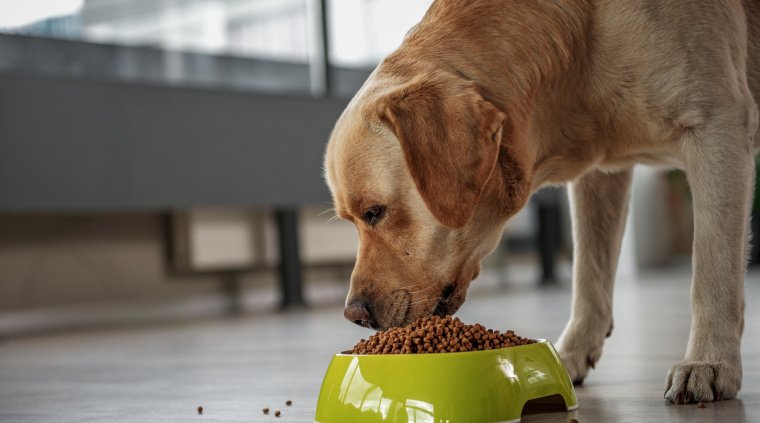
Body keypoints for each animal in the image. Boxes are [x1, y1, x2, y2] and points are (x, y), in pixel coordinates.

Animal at [322, 0, 760, 404]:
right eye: (350, 220)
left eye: (375, 213)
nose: (354, 314)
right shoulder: (601, 173)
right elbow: (589, 274)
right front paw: (569, 355)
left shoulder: (718, 128)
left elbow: (712, 272)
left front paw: (709, 362)